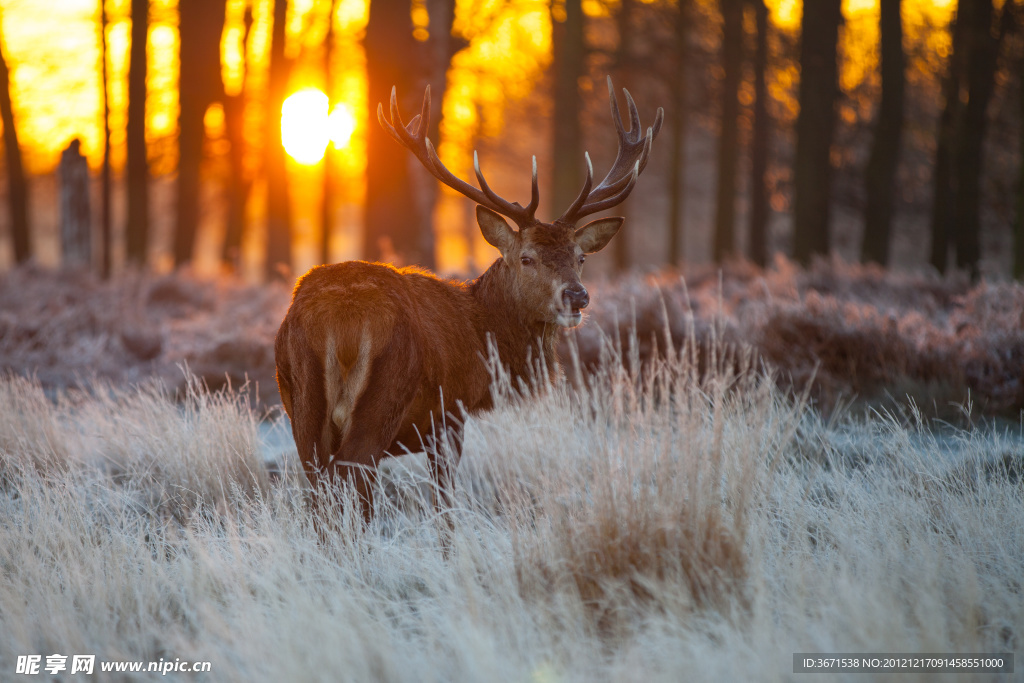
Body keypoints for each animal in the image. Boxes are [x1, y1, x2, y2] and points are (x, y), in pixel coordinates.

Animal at [274, 78, 663, 524]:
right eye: (526, 257)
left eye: (580, 257)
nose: (577, 296)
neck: (483, 337)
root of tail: (340, 319)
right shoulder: (450, 415)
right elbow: (444, 504)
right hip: (383, 397)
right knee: (349, 480)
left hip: (301, 403)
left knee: (319, 490)